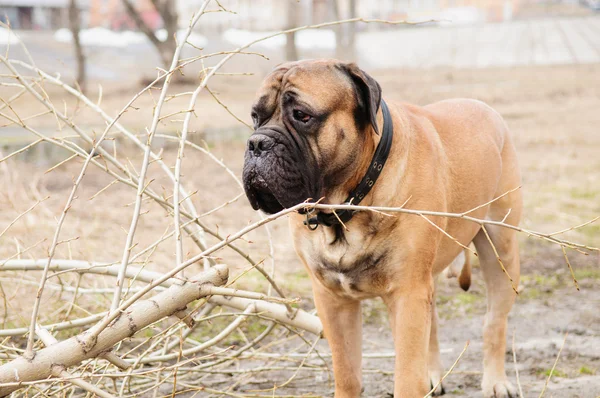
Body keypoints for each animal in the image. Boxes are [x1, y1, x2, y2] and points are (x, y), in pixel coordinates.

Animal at [241, 59, 524, 398]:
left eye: (303, 115)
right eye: (255, 117)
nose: (257, 143)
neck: (347, 208)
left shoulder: (407, 294)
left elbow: (407, 376)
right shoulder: (333, 300)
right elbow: (347, 373)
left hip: (501, 252)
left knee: (494, 320)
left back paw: (496, 381)